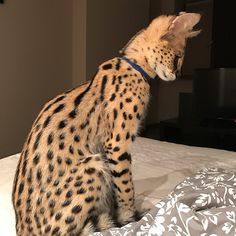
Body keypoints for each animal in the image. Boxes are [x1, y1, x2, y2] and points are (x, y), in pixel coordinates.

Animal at [12, 12, 201, 236]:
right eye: (178, 58)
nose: (178, 75)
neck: (135, 65)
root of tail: (22, 228)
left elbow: (117, 188)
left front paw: (120, 211)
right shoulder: (117, 145)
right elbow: (125, 187)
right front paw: (129, 214)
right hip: (92, 165)